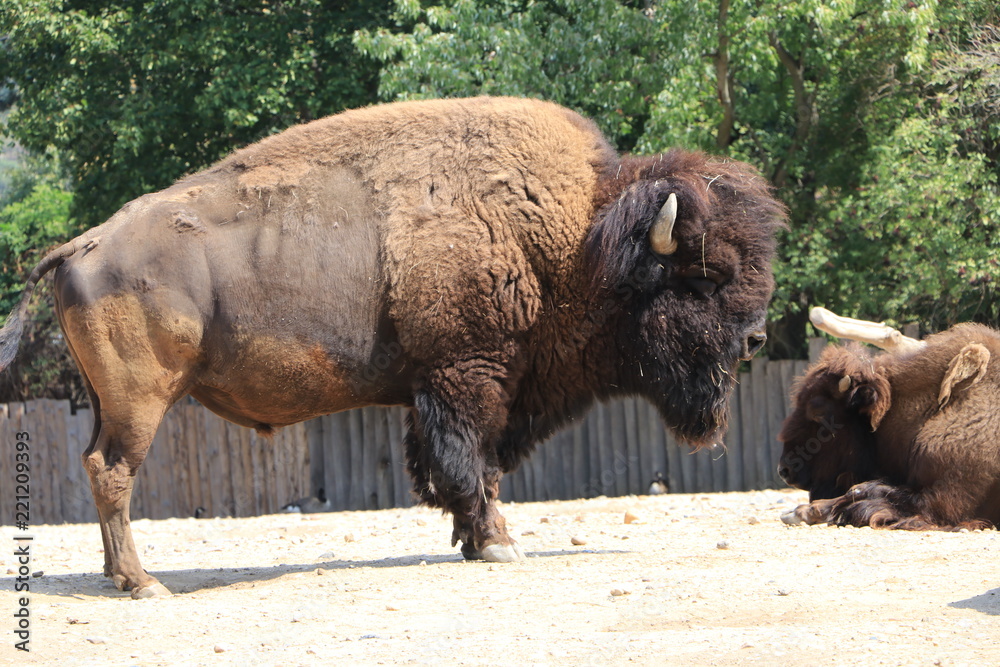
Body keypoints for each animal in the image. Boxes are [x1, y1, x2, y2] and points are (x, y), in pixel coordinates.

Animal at [0, 95, 784, 600]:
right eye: (704, 275)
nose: (754, 337)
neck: (580, 238)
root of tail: (81, 245)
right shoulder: (469, 376)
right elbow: (472, 462)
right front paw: (496, 542)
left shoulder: (442, 390)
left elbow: (452, 465)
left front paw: (471, 540)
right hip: (142, 398)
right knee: (113, 471)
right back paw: (144, 583)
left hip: (109, 400)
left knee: (99, 467)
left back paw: (118, 575)